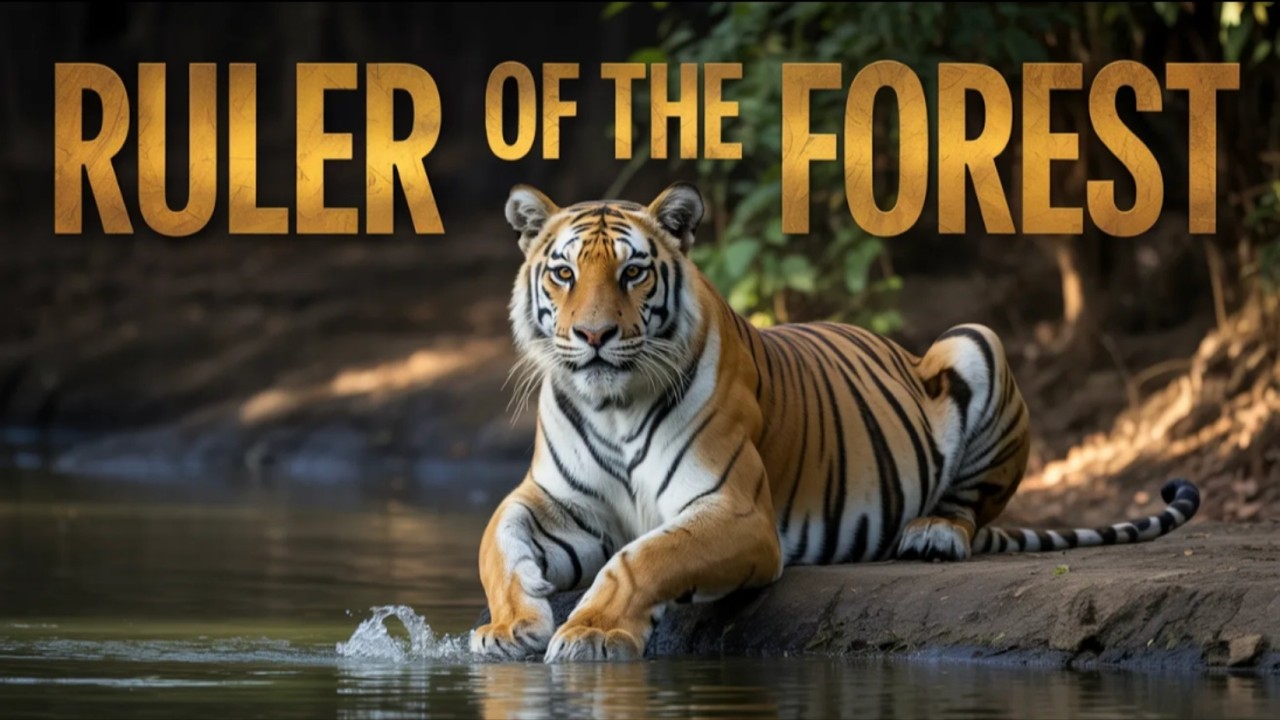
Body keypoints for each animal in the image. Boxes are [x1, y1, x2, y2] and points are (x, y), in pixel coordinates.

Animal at [471, 182, 1202, 663]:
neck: (613, 406)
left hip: (975, 340)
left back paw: (933, 532)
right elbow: (496, 544)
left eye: (633, 273)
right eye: (563, 273)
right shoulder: (558, 505)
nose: (593, 336)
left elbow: (642, 556)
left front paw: (591, 631)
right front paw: (510, 628)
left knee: (972, 505)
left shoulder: (736, 511)